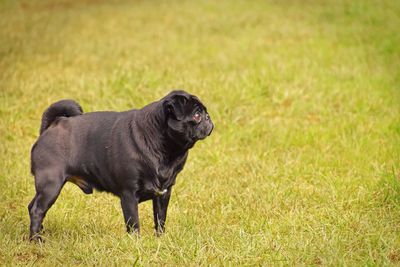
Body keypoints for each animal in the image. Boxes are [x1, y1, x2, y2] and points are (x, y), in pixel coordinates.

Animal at [28, 90, 212, 243]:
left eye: (204, 113)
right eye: (196, 115)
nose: (208, 118)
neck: (167, 151)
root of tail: (52, 125)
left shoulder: (163, 194)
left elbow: (160, 219)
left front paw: (161, 239)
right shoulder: (129, 194)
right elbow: (134, 223)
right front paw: (137, 244)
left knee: (32, 206)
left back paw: (39, 233)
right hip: (51, 184)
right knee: (38, 209)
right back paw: (36, 240)